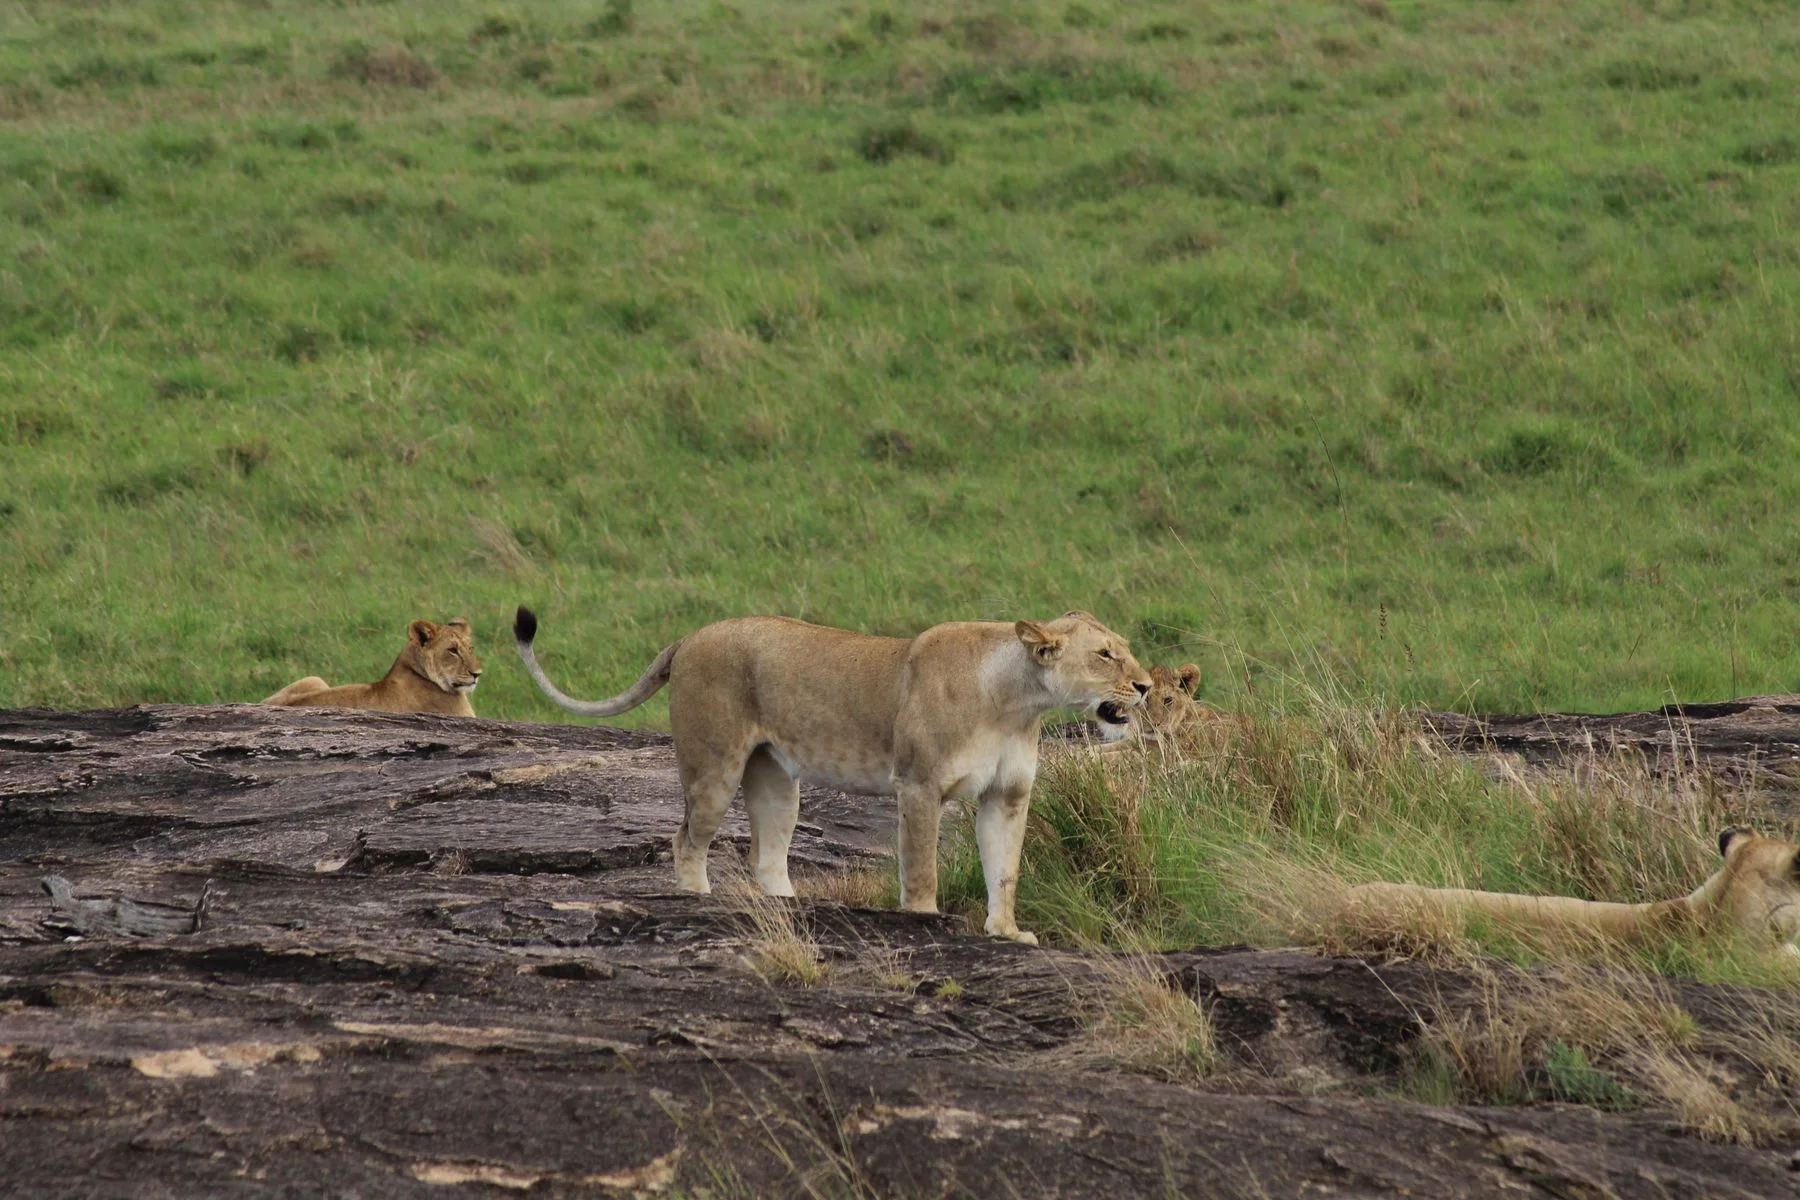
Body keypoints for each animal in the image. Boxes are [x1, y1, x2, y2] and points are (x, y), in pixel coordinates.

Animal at [513, 606, 1152, 943]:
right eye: (1105, 655)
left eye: (1125, 649)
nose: (1146, 687)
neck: (1017, 703)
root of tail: (690, 636)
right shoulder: (918, 786)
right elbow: (921, 867)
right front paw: (926, 920)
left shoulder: (1008, 795)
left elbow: (1006, 870)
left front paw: (1006, 931)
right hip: (714, 768)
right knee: (684, 839)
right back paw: (697, 897)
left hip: (777, 781)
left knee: (766, 856)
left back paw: (790, 909)